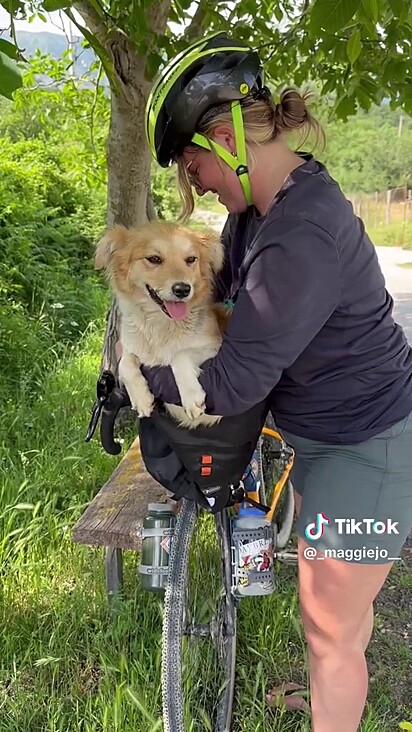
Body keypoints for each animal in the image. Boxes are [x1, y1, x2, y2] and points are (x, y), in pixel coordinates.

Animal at [95, 223, 229, 428]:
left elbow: (179, 356)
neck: (159, 325)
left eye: (191, 259)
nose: (183, 289)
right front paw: (141, 397)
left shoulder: (214, 346)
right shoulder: (130, 346)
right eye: (154, 259)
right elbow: (126, 362)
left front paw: (191, 396)